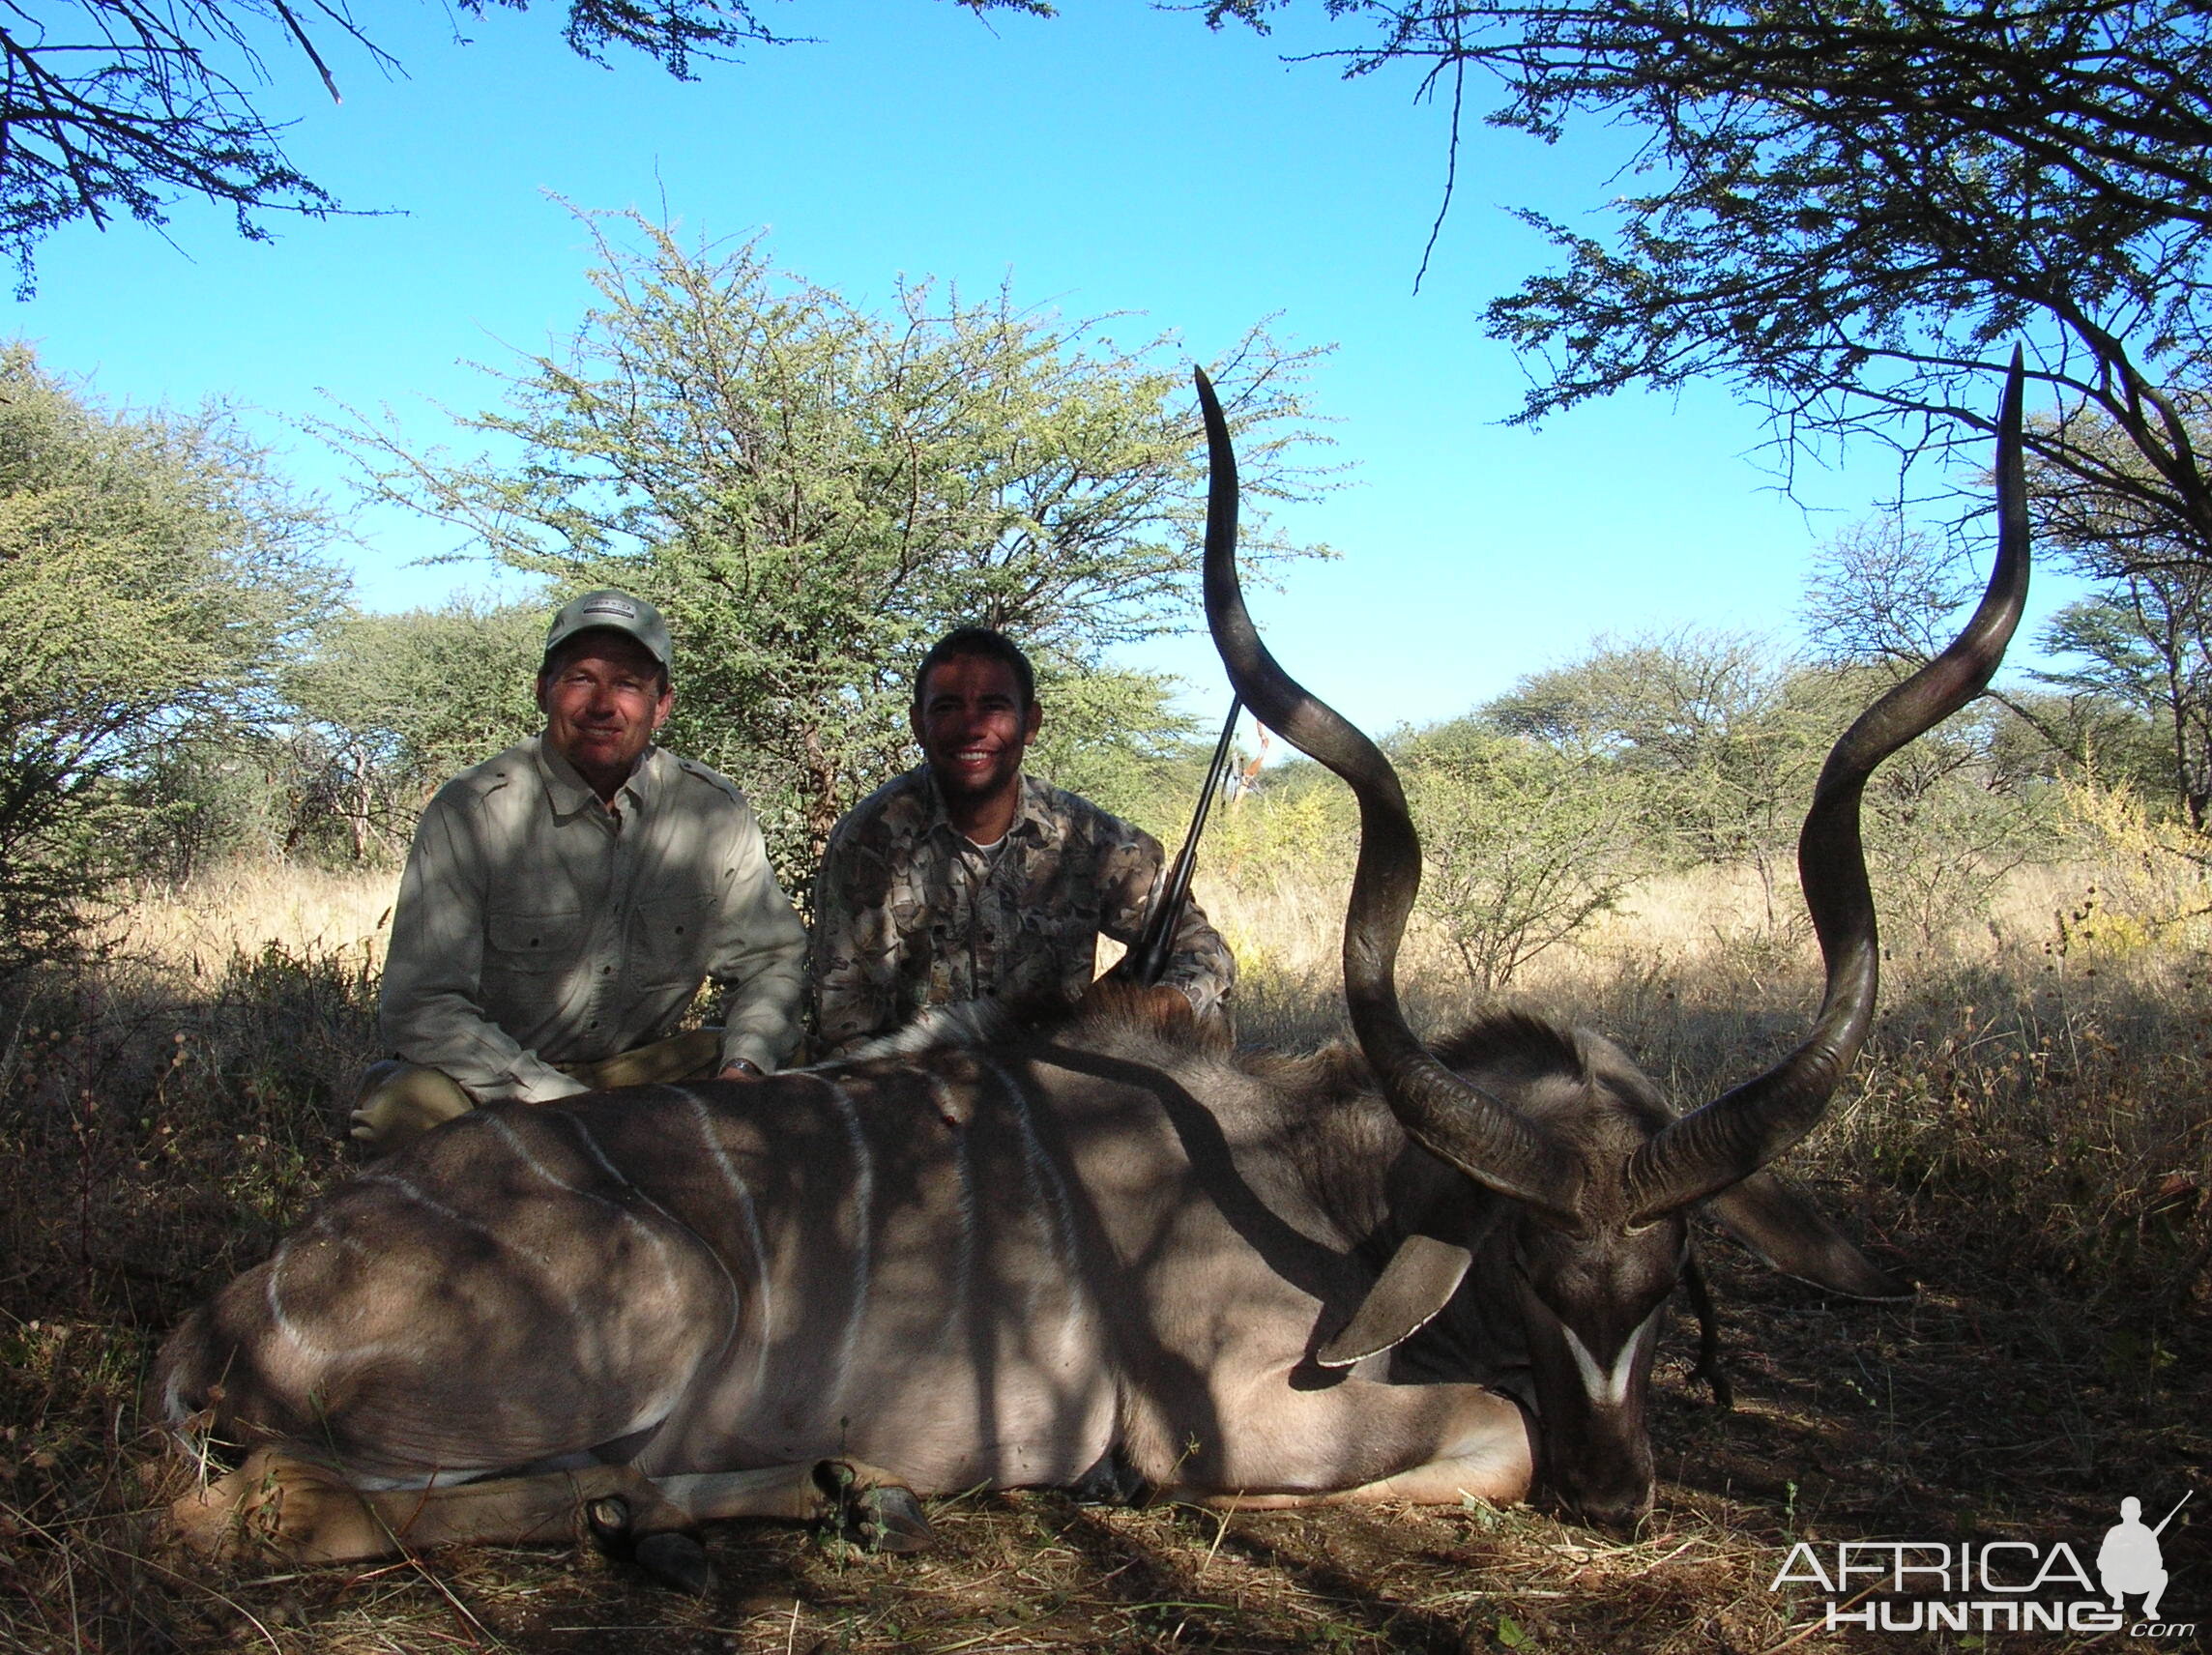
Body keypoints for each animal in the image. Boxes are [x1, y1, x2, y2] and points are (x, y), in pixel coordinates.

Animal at [151, 364, 2025, 1592]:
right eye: (1524, 1259)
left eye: (1672, 1269)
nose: (1622, 1501)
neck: (1314, 1185)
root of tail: (242, 1301)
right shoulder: (1258, 1416)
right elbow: (1483, 1428)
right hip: (642, 1324)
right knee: (275, 1509)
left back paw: (840, 1489)